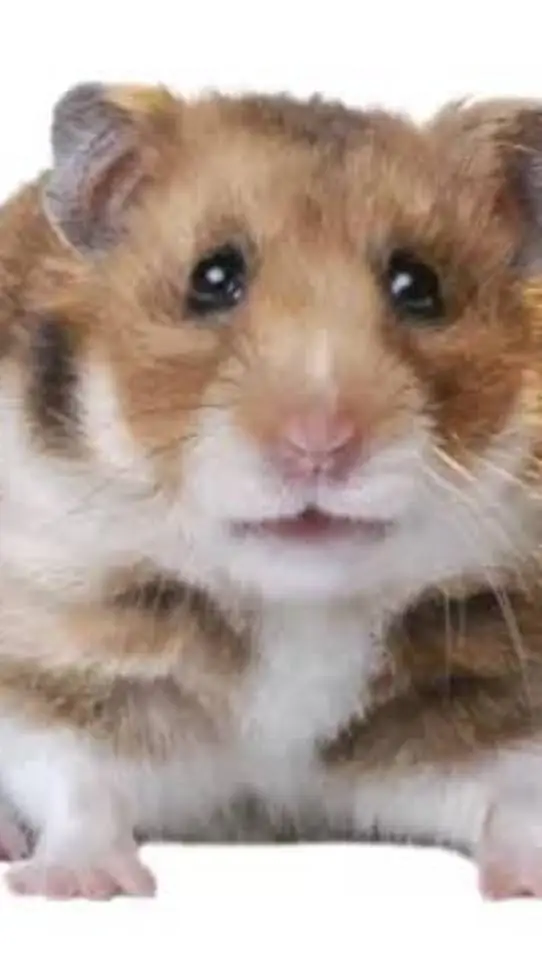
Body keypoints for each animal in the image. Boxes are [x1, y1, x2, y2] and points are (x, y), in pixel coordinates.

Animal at [0, 83, 542, 900]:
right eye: (211, 278)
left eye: (420, 287)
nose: (319, 445)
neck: (296, 607)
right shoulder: (49, 657)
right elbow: (74, 776)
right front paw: (83, 886)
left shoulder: (492, 689)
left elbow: (515, 793)